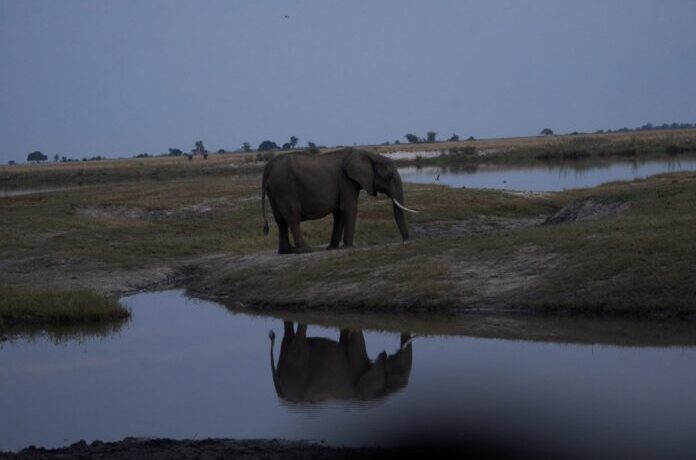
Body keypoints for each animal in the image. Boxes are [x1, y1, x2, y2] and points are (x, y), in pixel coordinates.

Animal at [260, 148, 414, 253]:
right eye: (389, 177)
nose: (406, 239)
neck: (367, 154)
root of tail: (267, 168)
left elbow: (339, 212)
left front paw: (332, 248)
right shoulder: (347, 181)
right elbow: (349, 209)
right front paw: (349, 247)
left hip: (275, 191)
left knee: (280, 220)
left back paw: (287, 251)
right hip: (285, 188)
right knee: (292, 217)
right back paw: (305, 250)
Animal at [270, 324, 414, 402]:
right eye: (397, 375)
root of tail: (279, 390)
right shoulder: (357, 368)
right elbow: (356, 339)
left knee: (287, 336)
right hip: (297, 371)